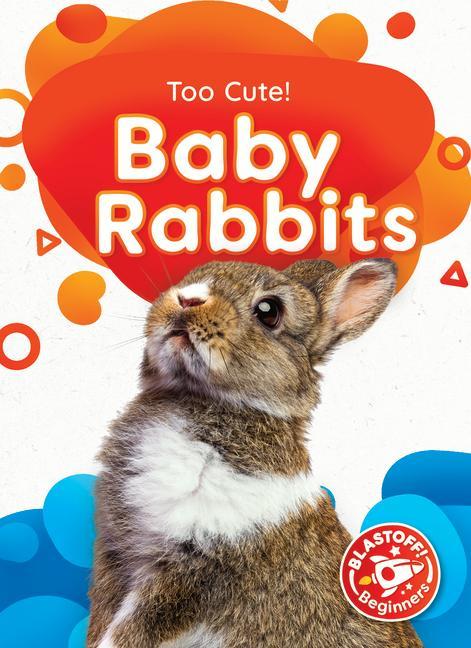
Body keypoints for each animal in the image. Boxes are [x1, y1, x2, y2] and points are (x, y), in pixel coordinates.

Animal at [88, 258, 423, 648]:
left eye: (269, 311)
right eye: (200, 271)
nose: (188, 299)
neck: (198, 399)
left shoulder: (193, 571)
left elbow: (129, 629)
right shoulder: (114, 555)